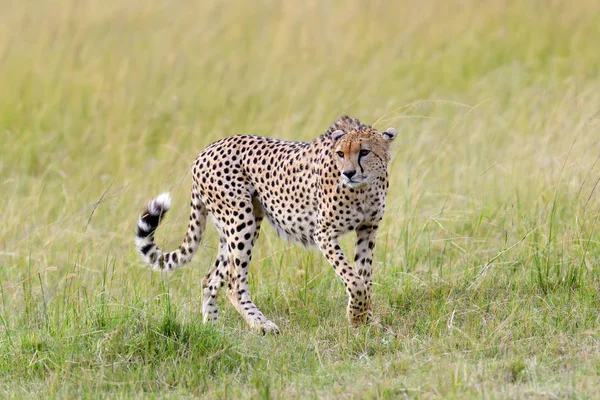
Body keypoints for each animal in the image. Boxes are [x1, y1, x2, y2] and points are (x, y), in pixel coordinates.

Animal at [136, 116, 398, 334]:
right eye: (341, 154)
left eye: (364, 151)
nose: (348, 173)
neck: (364, 188)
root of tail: (207, 149)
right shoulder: (324, 233)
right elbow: (354, 279)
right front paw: (356, 316)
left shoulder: (368, 228)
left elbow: (364, 276)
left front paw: (366, 319)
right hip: (241, 219)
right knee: (233, 282)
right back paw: (261, 324)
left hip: (237, 225)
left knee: (211, 278)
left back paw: (211, 329)